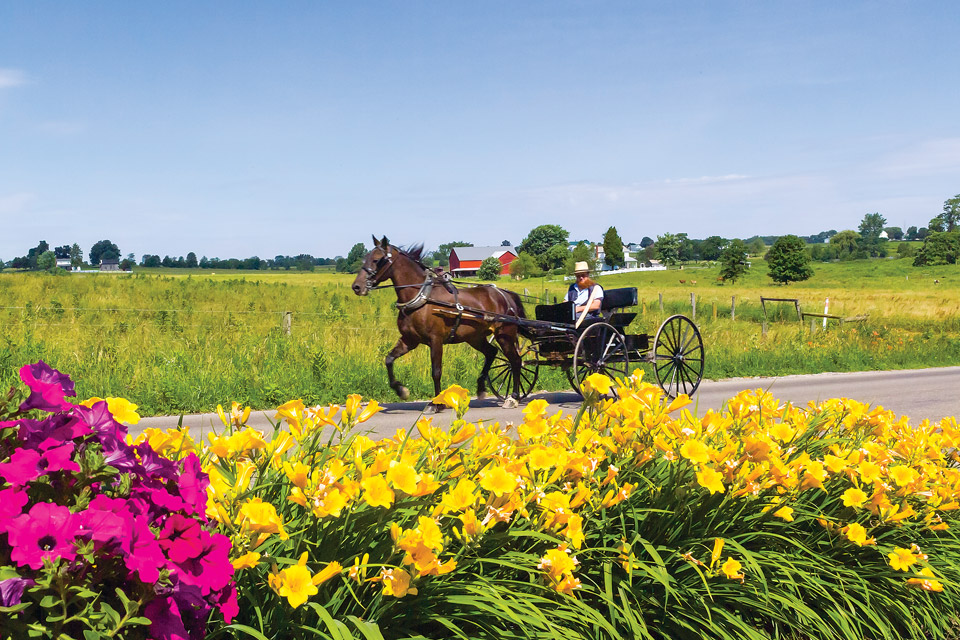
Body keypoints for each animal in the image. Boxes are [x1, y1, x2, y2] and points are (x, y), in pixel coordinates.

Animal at [350, 235, 520, 410]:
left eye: (377, 260)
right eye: (365, 258)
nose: (357, 286)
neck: (422, 298)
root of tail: (505, 294)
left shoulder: (436, 340)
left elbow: (436, 372)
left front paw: (436, 403)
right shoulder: (409, 340)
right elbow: (389, 359)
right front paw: (401, 390)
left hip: (504, 335)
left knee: (515, 361)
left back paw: (513, 397)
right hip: (474, 337)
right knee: (491, 352)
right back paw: (481, 388)